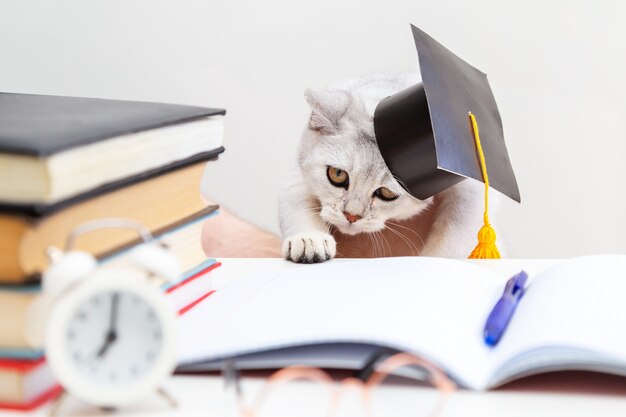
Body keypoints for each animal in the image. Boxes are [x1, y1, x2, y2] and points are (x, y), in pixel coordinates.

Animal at [278, 73, 492, 262]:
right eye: (337, 174)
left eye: (386, 193)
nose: (351, 216)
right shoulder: (297, 176)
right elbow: (298, 206)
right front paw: (309, 240)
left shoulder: (469, 190)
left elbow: (454, 236)